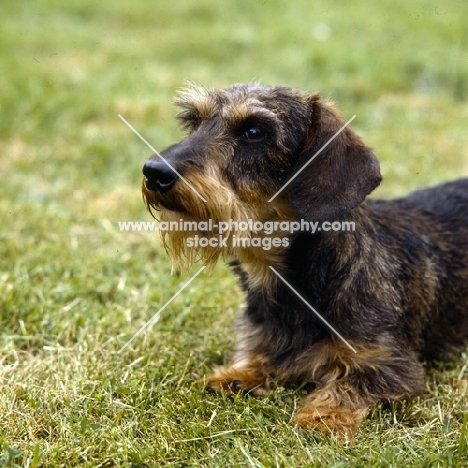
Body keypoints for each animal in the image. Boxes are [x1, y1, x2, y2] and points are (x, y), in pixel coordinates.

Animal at [142, 82, 468, 436]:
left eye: (254, 131)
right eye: (195, 122)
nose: (154, 172)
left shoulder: (390, 364)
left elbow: (351, 383)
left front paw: (321, 415)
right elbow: (258, 358)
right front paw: (234, 375)